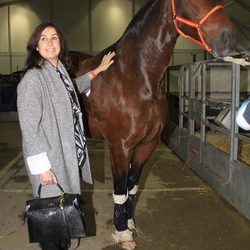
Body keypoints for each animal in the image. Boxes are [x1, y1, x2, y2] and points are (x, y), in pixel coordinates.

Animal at [73, 0, 236, 248]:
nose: (230, 36)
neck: (134, 76)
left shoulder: (146, 145)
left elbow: (132, 187)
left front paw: (130, 224)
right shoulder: (119, 147)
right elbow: (119, 189)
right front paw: (122, 233)